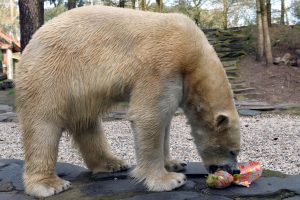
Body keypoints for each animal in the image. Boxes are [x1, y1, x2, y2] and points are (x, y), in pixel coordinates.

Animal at [15, 5, 241, 198]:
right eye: (233, 151)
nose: (235, 170)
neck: (193, 55)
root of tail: (28, 47)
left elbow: (165, 119)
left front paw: (175, 163)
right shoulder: (162, 65)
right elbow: (149, 115)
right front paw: (169, 180)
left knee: (87, 124)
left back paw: (112, 163)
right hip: (51, 76)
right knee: (43, 126)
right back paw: (49, 184)